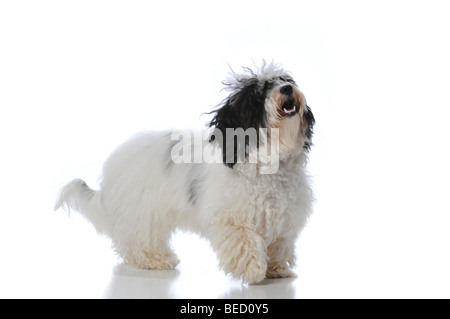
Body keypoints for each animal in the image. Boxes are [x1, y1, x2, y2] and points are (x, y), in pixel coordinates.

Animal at [54, 61, 314, 284]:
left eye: (285, 80)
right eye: (260, 92)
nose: (287, 89)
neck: (269, 160)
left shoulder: (283, 218)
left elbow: (279, 243)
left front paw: (276, 268)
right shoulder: (231, 217)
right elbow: (243, 241)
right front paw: (253, 270)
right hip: (143, 211)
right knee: (140, 240)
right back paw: (156, 260)